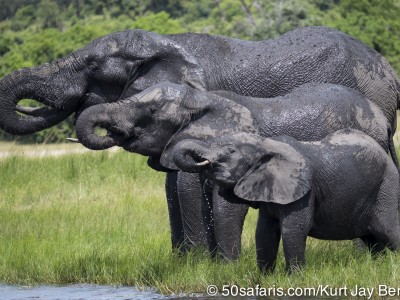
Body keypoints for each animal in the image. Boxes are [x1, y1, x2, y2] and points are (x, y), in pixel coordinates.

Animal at [74, 81, 394, 258]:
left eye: (151, 112)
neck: (204, 99)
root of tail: (383, 118)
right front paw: (207, 267)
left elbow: (221, 204)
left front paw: (220, 268)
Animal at [171, 129, 400, 272]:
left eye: (230, 151)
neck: (266, 143)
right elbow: (264, 232)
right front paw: (264, 278)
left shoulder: (304, 191)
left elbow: (293, 229)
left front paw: (295, 279)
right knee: (372, 240)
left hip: (386, 187)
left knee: (388, 229)